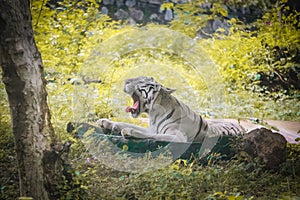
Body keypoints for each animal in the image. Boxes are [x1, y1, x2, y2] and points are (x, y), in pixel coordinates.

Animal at [96, 76, 246, 143]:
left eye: (141, 81)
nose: (125, 81)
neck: (153, 114)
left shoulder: (178, 136)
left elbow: (154, 136)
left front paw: (129, 132)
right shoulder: (152, 128)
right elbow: (126, 123)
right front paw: (106, 122)